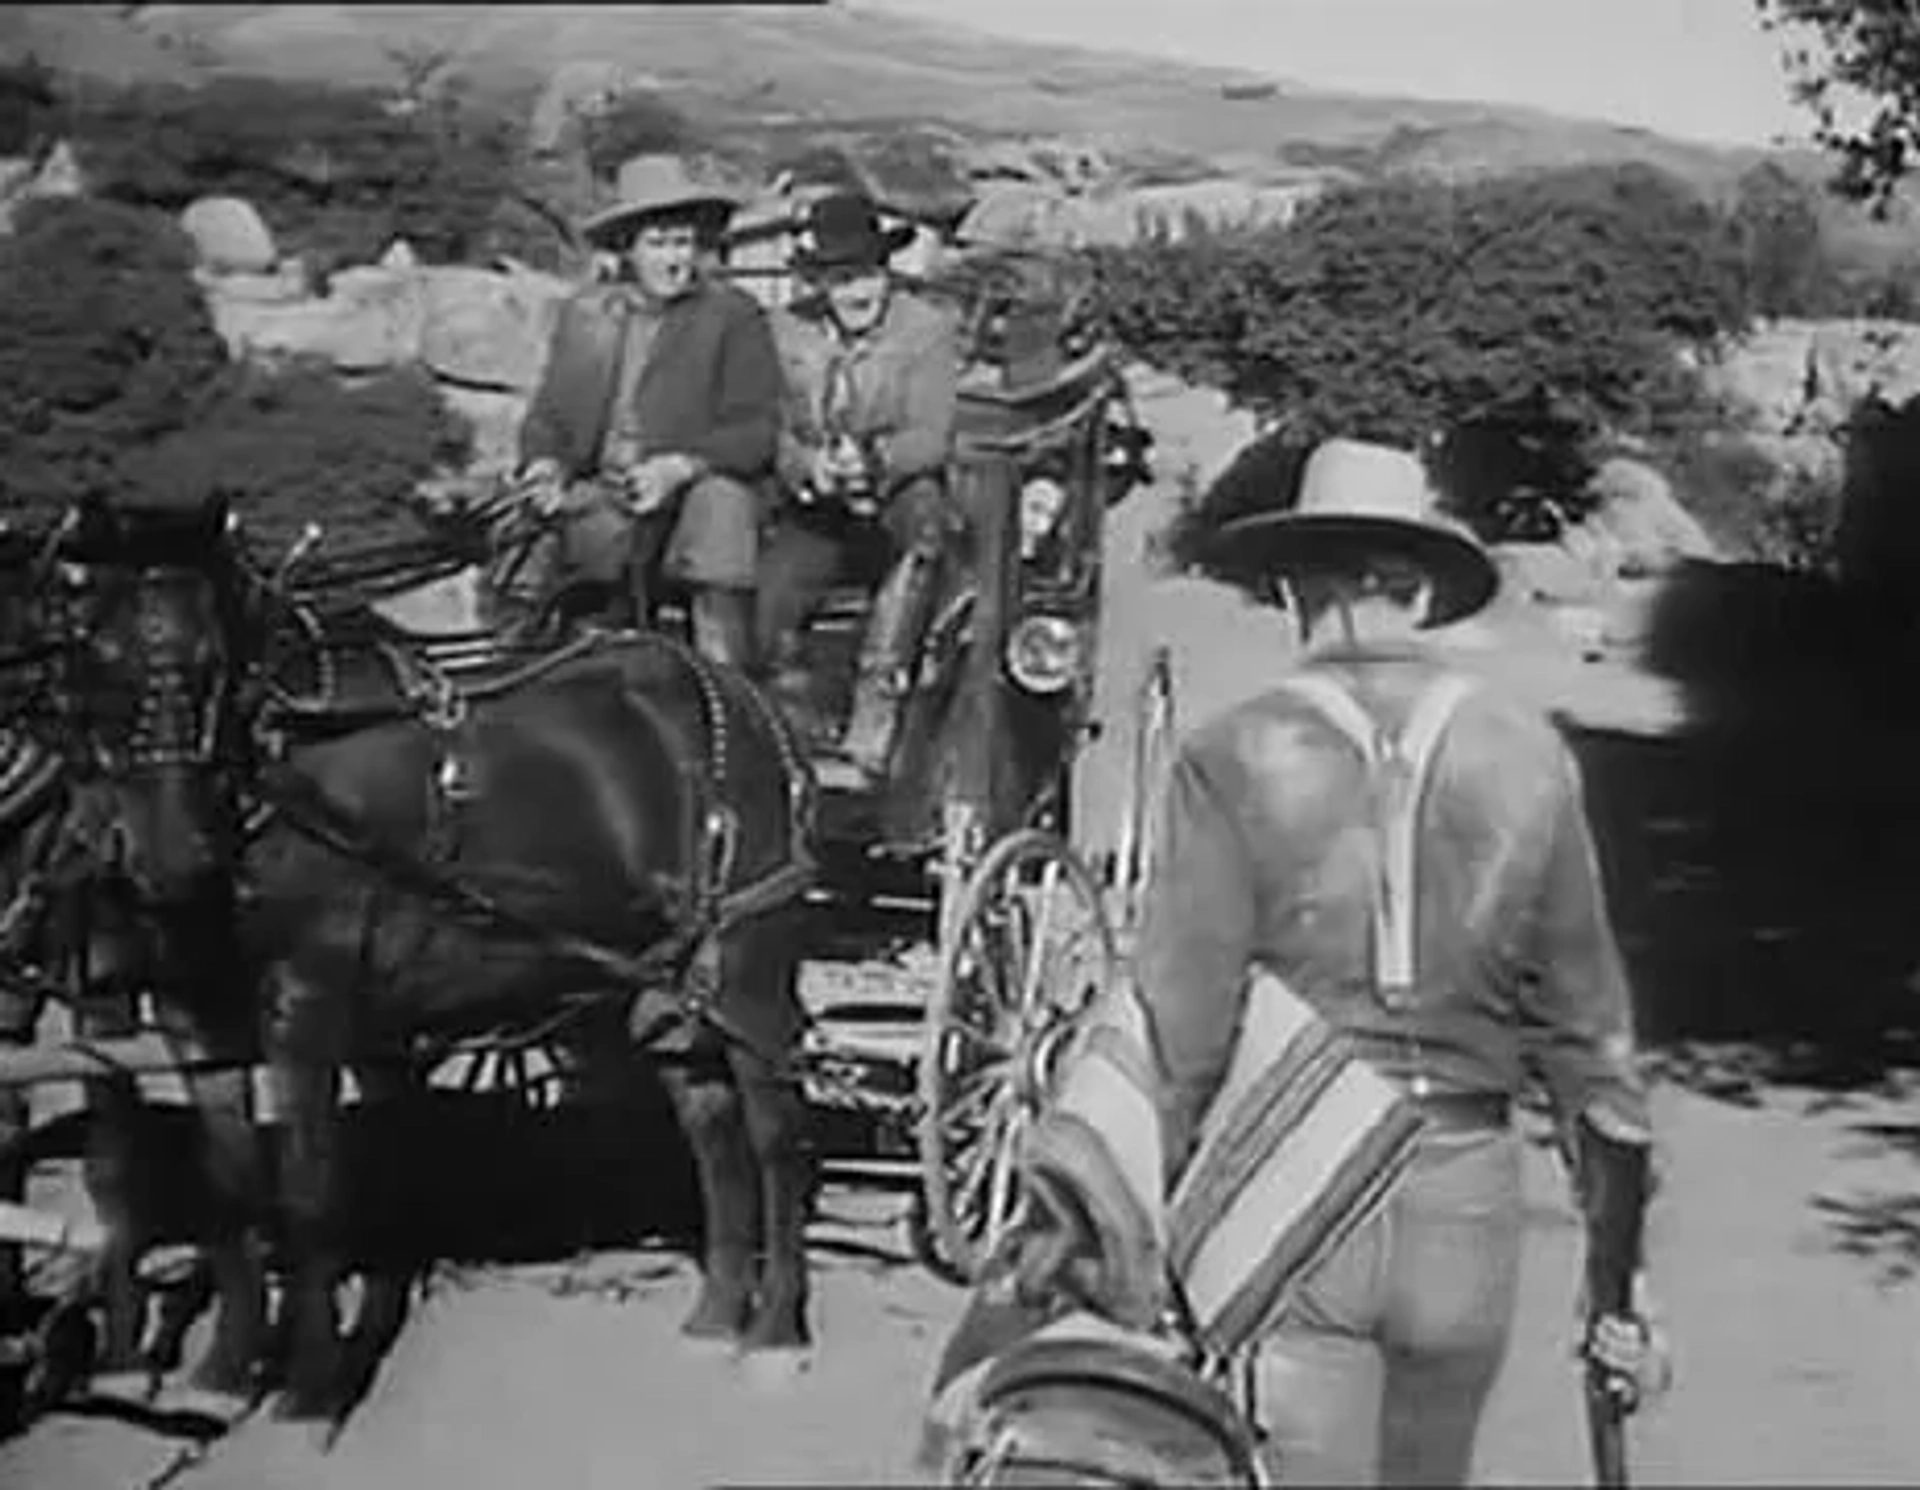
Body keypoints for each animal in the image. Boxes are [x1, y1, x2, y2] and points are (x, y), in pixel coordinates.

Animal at [37, 495, 817, 1428]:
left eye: (211, 664)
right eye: (94, 654)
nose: (172, 857)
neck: (273, 770)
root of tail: (740, 693)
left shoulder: (309, 1003)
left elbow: (308, 1191)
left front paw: (311, 1386)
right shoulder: (199, 1014)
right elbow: (232, 1185)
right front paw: (225, 1368)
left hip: (747, 958)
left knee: (774, 1134)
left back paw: (774, 1332)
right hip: (662, 986)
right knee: (713, 1131)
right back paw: (718, 1311)